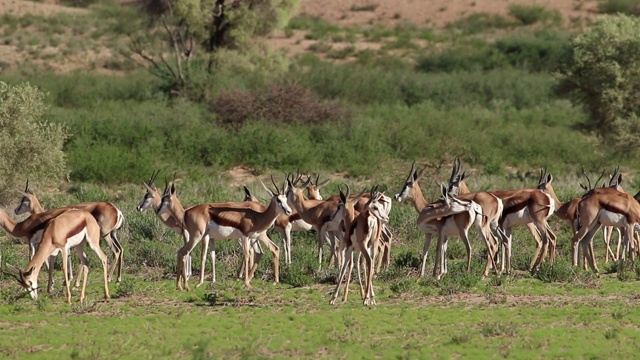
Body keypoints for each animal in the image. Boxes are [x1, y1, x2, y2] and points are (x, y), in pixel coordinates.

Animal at [158, 176, 290, 292]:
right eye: (278, 200)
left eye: (285, 199)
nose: (288, 211)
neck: (257, 216)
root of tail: (187, 212)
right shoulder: (243, 236)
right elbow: (243, 255)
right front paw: (246, 283)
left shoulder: (240, 237)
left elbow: (213, 255)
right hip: (197, 236)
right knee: (183, 252)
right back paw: (184, 286)